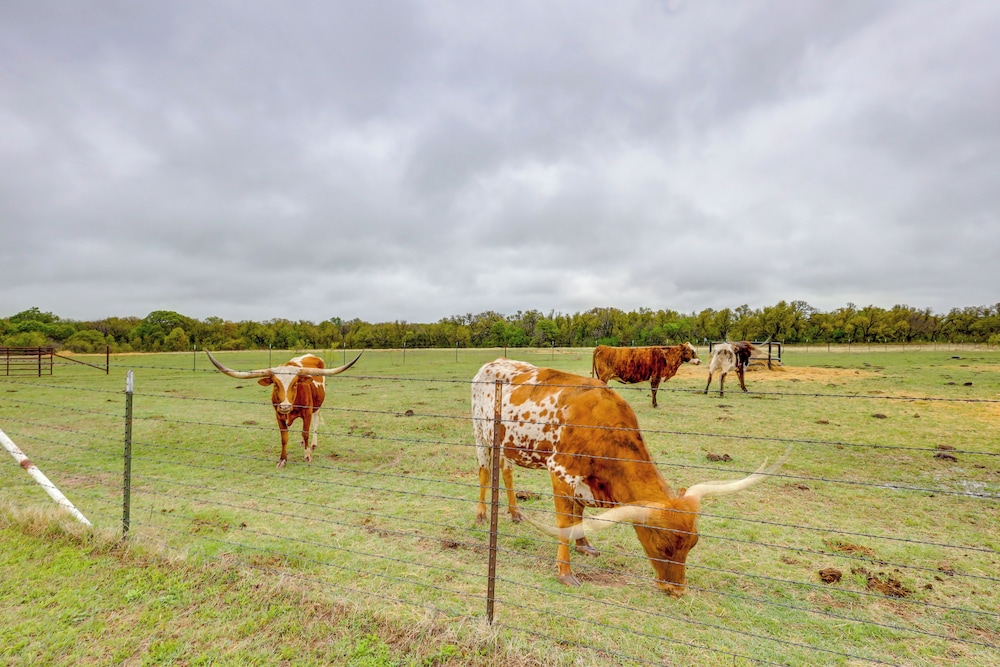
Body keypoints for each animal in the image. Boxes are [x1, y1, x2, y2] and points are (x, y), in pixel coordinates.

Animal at [205, 350, 362, 468]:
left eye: (295, 384)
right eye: (275, 384)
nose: (285, 406)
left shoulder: (307, 412)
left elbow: (305, 433)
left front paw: (307, 455)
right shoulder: (279, 415)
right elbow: (284, 438)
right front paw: (282, 460)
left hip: (317, 406)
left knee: (315, 423)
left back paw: (313, 444)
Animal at [472, 358, 786, 596]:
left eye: (693, 543)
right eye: (663, 545)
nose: (677, 591)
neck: (601, 427)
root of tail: (490, 364)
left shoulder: (584, 481)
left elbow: (578, 515)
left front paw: (584, 546)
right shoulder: (561, 473)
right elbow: (564, 522)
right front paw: (565, 572)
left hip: (506, 445)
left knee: (506, 472)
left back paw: (515, 513)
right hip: (482, 436)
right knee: (485, 472)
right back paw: (481, 514)